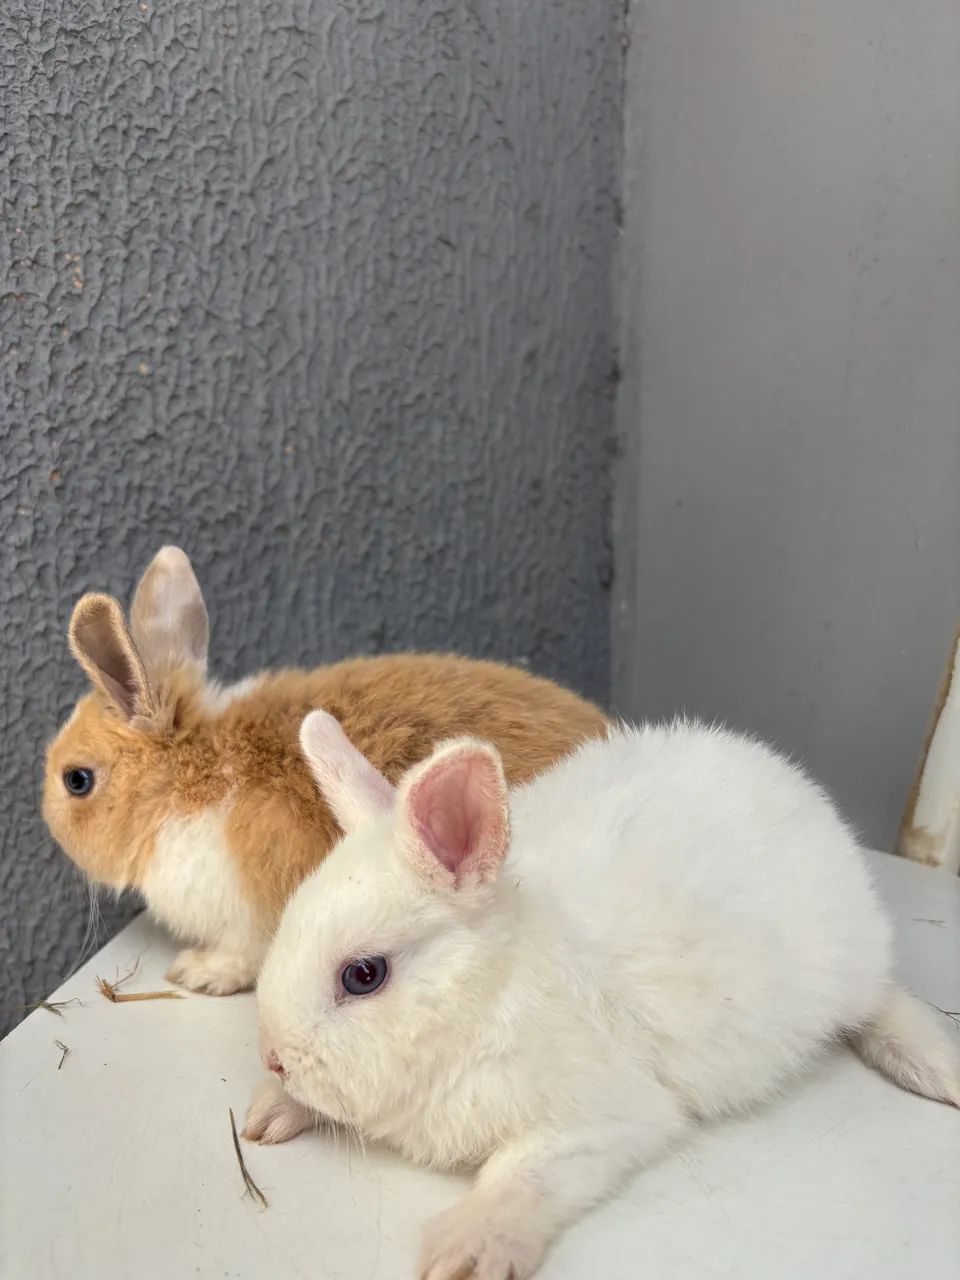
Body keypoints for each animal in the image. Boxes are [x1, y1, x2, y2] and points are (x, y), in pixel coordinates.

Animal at [42, 546, 608, 997]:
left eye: (77, 780)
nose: (48, 824)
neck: (185, 781)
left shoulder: (251, 914)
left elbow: (242, 956)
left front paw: (197, 973)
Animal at [249, 710, 960, 1280]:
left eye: (364, 975)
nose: (275, 1060)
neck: (487, 991)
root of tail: (802, 792)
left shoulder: (598, 1123)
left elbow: (519, 1176)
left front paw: (468, 1254)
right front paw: (270, 1115)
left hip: (852, 972)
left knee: (884, 1003)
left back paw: (939, 1070)